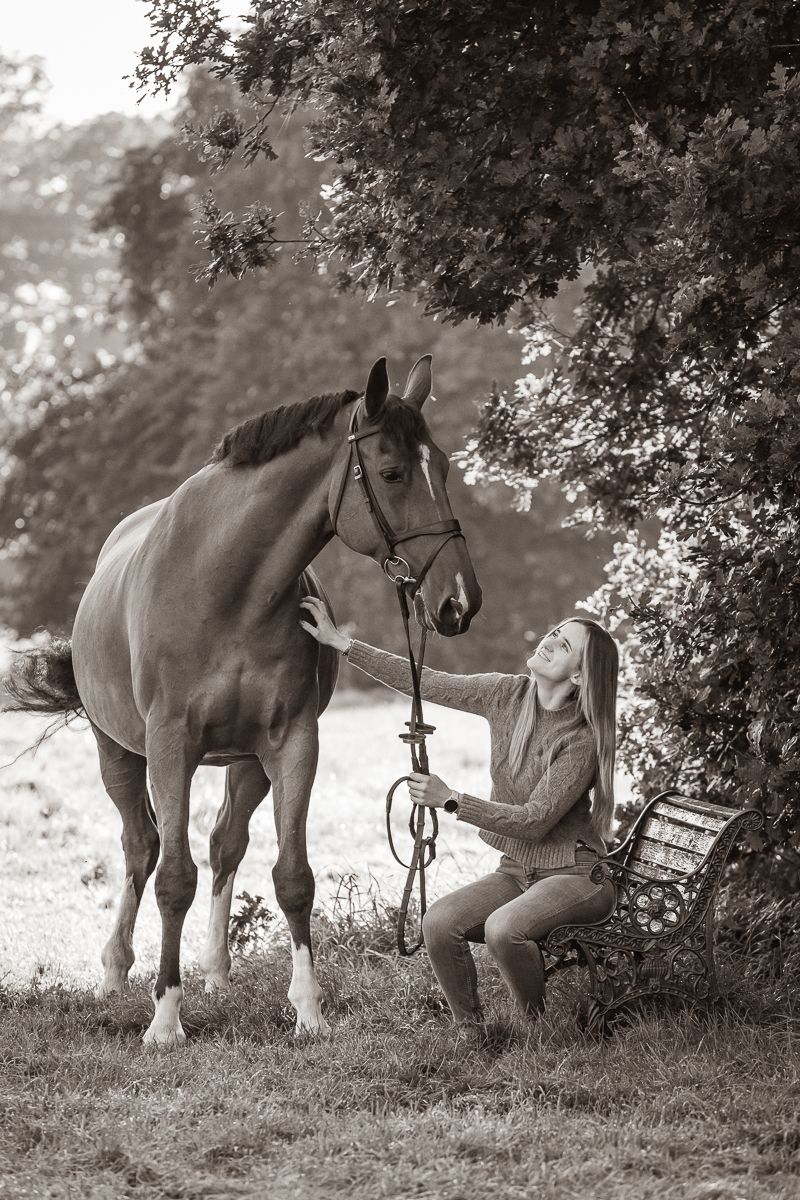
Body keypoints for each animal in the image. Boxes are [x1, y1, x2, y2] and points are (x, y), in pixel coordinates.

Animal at [4, 355, 482, 1045]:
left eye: (441, 467)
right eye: (393, 473)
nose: (459, 601)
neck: (226, 584)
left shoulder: (292, 743)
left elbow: (293, 878)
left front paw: (308, 1012)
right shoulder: (170, 744)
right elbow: (174, 879)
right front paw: (165, 1021)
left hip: (246, 763)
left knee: (225, 842)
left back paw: (216, 972)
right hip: (117, 751)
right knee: (141, 848)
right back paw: (116, 972)